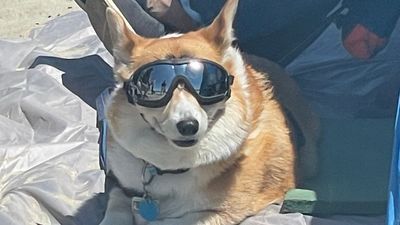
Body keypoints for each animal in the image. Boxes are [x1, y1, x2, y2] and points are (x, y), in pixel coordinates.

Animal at [101, 0, 318, 225]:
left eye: (208, 85)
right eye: (155, 85)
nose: (188, 126)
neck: (170, 168)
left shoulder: (221, 212)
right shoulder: (120, 184)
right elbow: (116, 204)